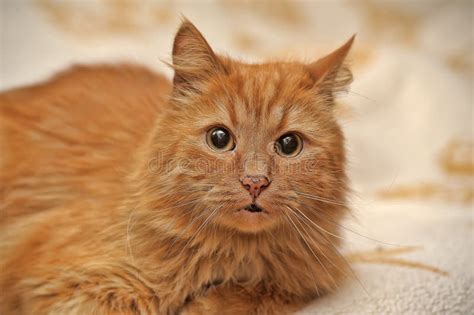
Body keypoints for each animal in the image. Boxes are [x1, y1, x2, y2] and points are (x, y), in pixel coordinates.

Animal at [0, 21, 356, 314]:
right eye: (219, 138)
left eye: (289, 145)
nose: (255, 182)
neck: (233, 255)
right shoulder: (66, 286)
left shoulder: (301, 282)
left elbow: (252, 298)